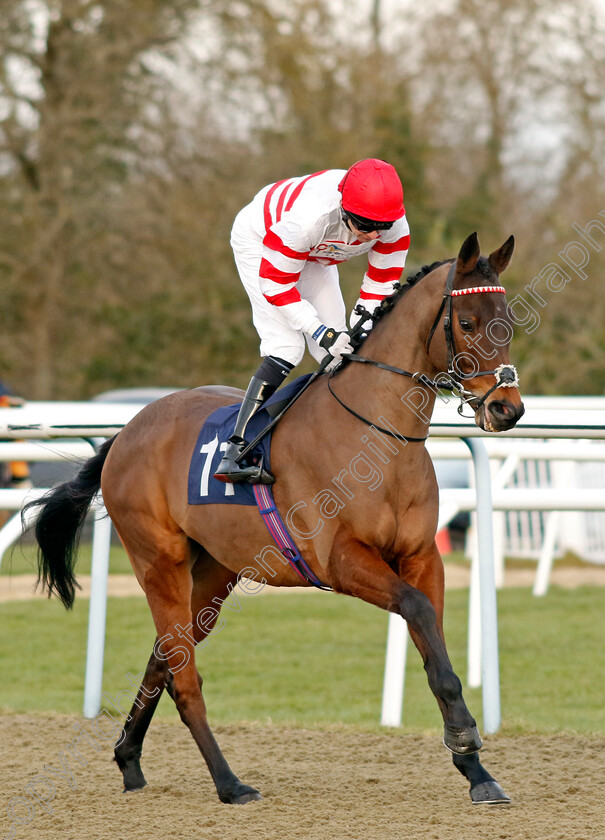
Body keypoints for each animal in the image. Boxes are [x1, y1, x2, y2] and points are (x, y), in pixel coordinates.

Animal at [23, 231, 524, 808]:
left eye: (507, 320)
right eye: (467, 322)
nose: (508, 409)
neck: (378, 438)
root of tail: (126, 431)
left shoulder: (422, 557)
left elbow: (435, 647)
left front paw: (477, 771)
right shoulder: (341, 561)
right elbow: (418, 612)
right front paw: (465, 735)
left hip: (214, 572)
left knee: (164, 656)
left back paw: (129, 760)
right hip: (158, 561)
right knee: (183, 674)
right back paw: (228, 782)